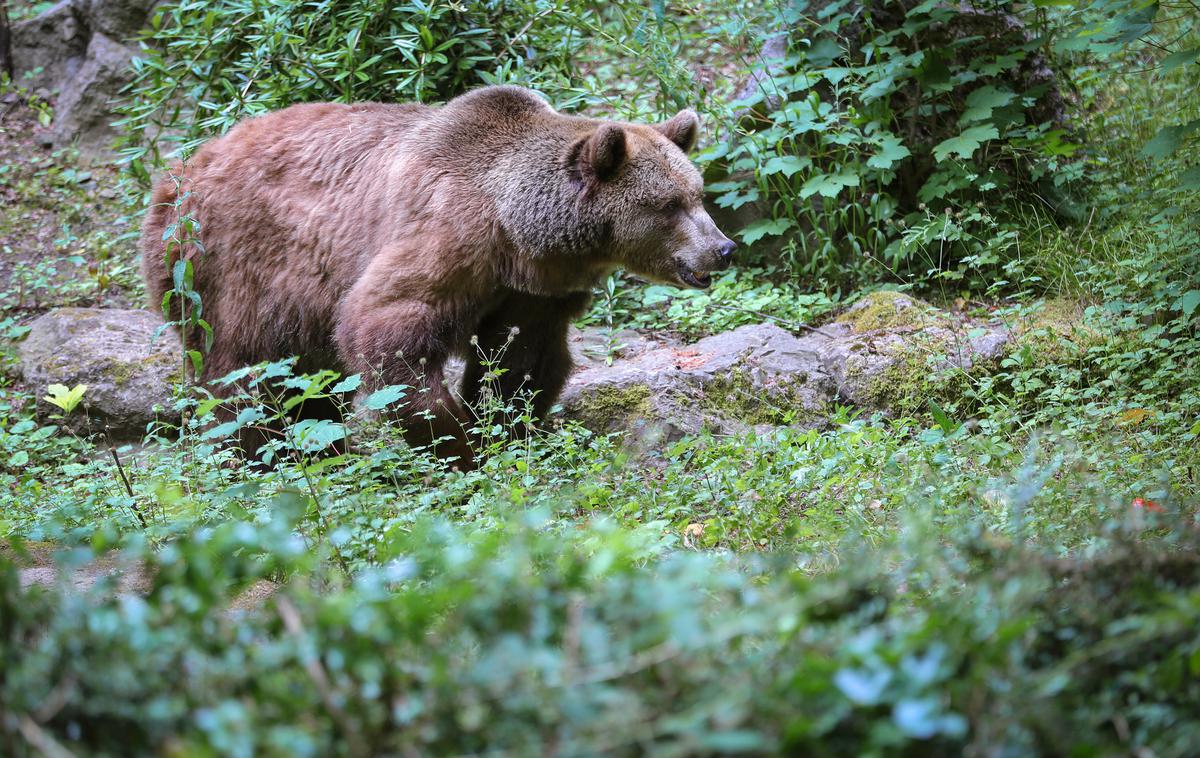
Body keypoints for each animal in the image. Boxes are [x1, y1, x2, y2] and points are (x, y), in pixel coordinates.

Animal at [145, 87, 734, 467]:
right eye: (668, 205)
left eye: (698, 193)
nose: (722, 249)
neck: (515, 231)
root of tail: (180, 168)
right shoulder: (447, 237)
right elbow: (387, 331)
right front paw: (457, 446)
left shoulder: (532, 292)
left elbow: (520, 362)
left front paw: (504, 431)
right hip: (228, 268)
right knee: (244, 375)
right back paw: (266, 456)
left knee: (304, 379)